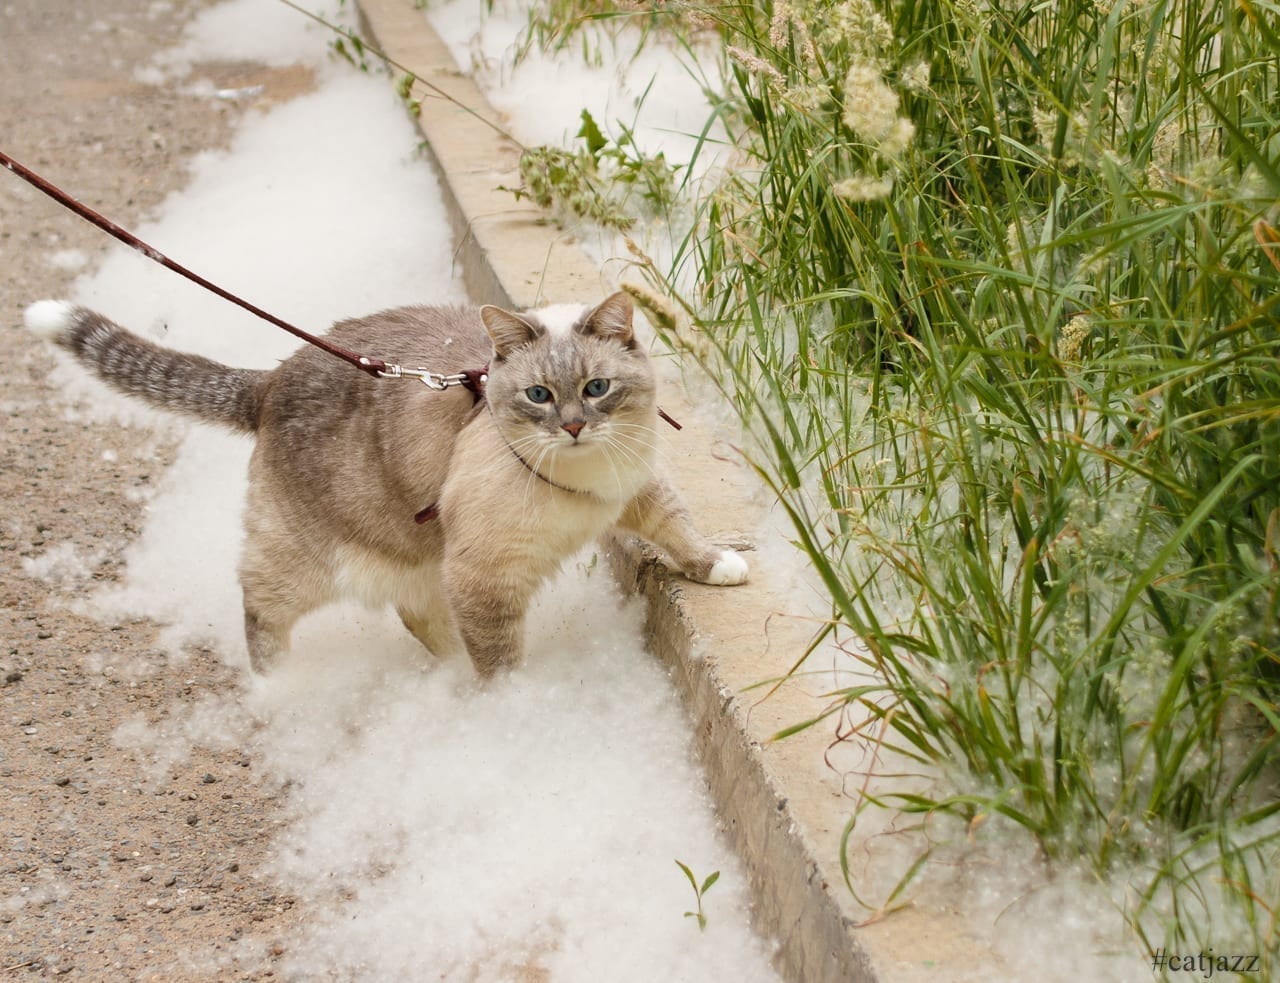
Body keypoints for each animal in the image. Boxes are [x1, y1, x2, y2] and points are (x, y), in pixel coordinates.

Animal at [22, 289, 747, 675]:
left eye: (596, 389)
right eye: (539, 395)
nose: (571, 427)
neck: (581, 479)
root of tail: (272, 378)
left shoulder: (636, 490)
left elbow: (681, 531)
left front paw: (720, 566)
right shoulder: (485, 579)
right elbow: (502, 662)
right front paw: (514, 716)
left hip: (416, 553)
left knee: (418, 614)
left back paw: (446, 669)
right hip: (306, 563)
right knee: (259, 608)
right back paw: (277, 690)